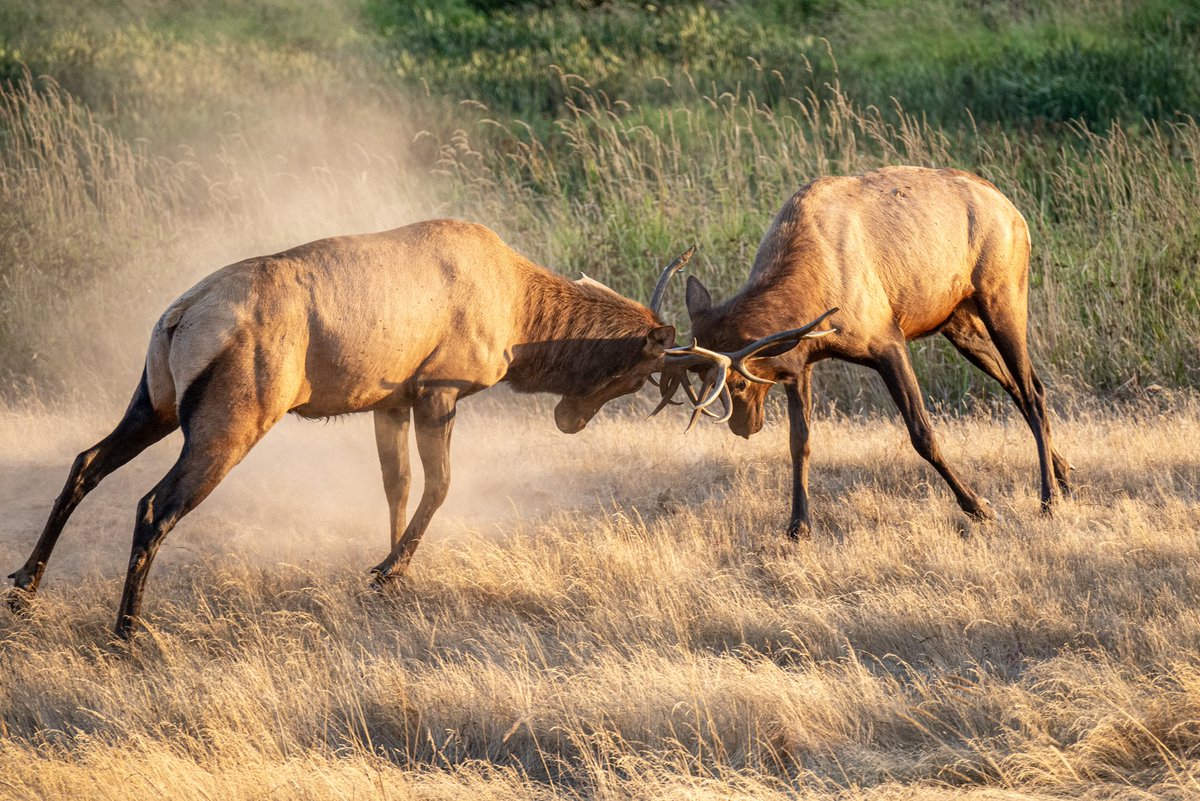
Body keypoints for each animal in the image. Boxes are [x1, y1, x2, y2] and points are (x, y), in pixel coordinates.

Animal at [657, 166, 1073, 539]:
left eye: (740, 384)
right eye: (700, 378)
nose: (743, 427)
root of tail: (1015, 212)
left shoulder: (888, 341)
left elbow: (922, 433)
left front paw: (979, 507)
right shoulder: (801, 363)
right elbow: (799, 442)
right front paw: (798, 526)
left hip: (1003, 295)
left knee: (1033, 390)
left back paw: (1048, 499)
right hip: (959, 322)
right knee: (1019, 387)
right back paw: (1064, 475)